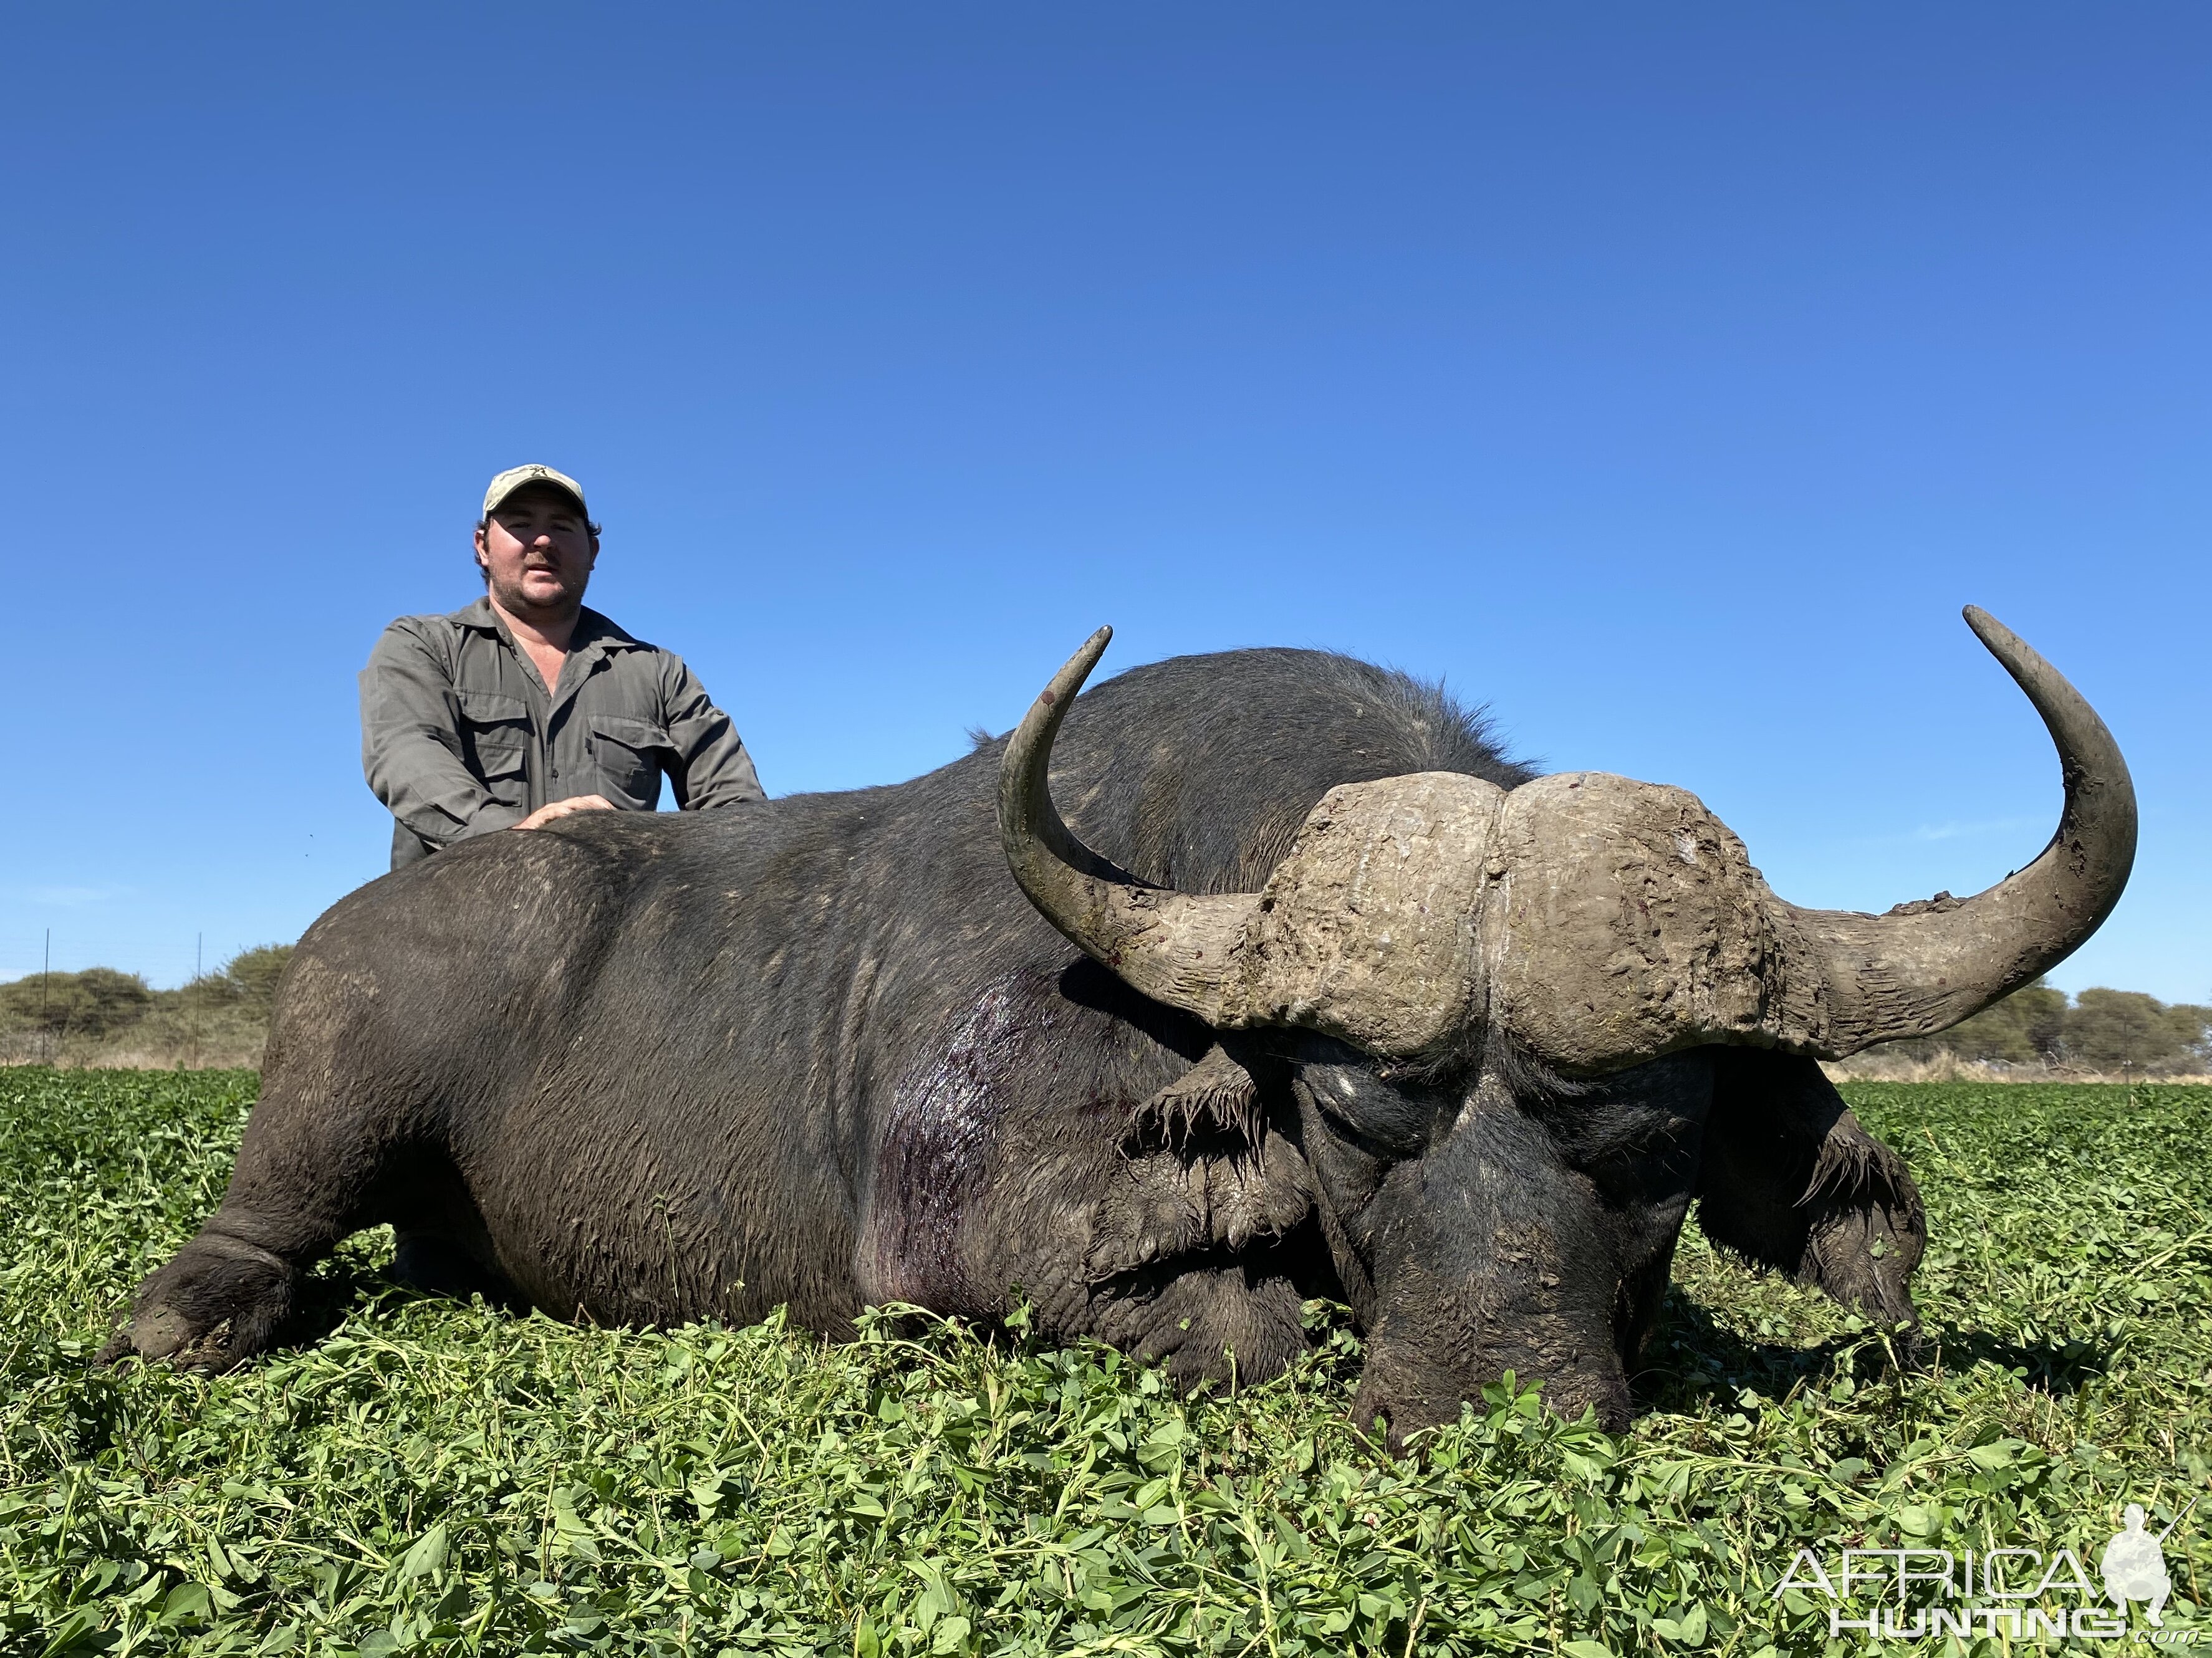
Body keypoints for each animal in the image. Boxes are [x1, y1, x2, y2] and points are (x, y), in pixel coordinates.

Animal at [112, 610, 2132, 1441]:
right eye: (1343, 1113)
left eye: (1655, 1139)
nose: (1483, 1402)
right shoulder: (952, 1246)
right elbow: (1241, 1338)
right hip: (335, 1095)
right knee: (252, 1227)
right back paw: (188, 1320)